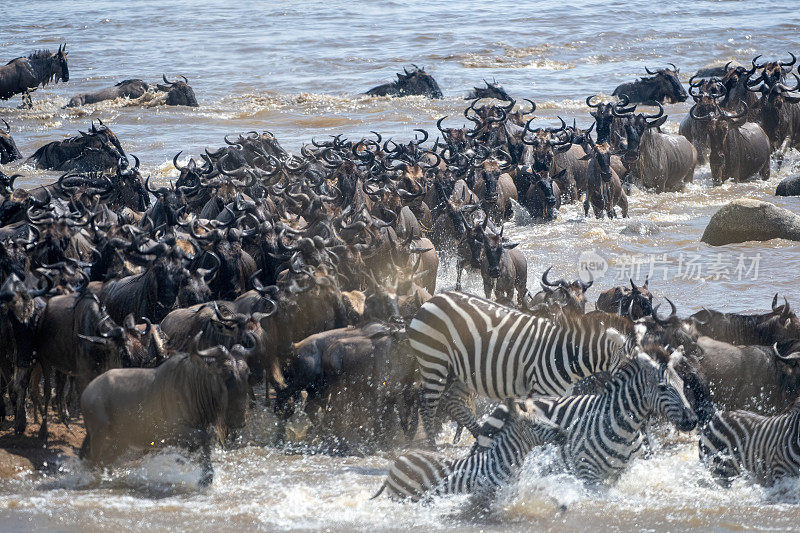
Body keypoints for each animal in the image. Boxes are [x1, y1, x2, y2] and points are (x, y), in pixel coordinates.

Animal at [372, 402, 564, 500]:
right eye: (535, 425)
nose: (563, 432)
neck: (501, 461)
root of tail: (397, 461)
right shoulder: (485, 496)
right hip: (403, 497)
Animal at [406, 290, 636, 444]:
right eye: (633, 363)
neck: (565, 353)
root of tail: (432, 300)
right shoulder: (540, 391)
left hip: (458, 370)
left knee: (452, 402)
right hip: (434, 362)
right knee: (427, 406)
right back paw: (433, 448)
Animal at [520, 350, 696, 486]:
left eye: (682, 384)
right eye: (663, 387)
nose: (692, 420)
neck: (625, 430)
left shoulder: (621, 472)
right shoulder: (588, 475)